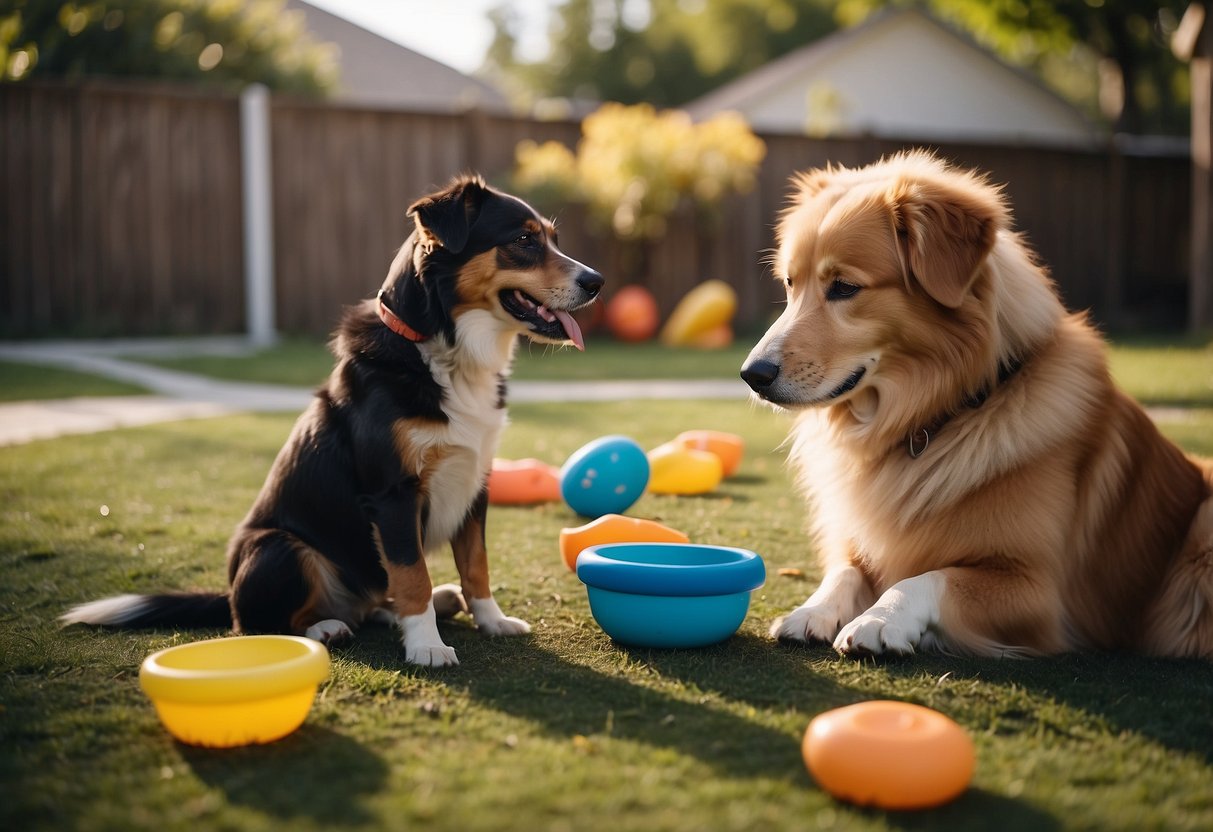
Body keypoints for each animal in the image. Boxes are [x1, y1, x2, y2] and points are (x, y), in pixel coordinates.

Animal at [61, 177, 601, 669]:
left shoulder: (476, 481)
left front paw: (490, 620)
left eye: (553, 237)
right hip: (280, 548)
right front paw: (426, 646)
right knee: (255, 624)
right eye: (523, 240)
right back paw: (326, 627)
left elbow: (476, 565)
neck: (444, 354)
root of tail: (228, 593)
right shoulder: (393, 493)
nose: (596, 281)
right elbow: (413, 575)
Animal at [742, 149, 1208, 659]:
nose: (752, 375)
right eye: (790, 284)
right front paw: (813, 611)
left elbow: (929, 578)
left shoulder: (1036, 591)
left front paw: (882, 619)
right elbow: (843, 571)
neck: (939, 416)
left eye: (844, 286)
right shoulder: (860, 544)